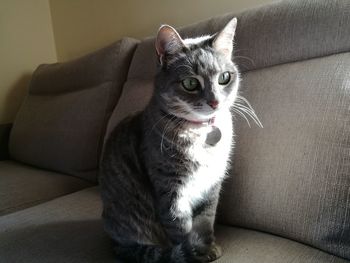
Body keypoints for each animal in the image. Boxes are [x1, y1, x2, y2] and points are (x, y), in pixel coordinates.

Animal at [99, 17, 241, 262]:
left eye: (224, 78)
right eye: (191, 83)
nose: (215, 102)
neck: (201, 134)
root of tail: (113, 243)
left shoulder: (212, 185)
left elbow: (205, 221)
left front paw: (208, 248)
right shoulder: (170, 189)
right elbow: (180, 229)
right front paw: (194, 253)